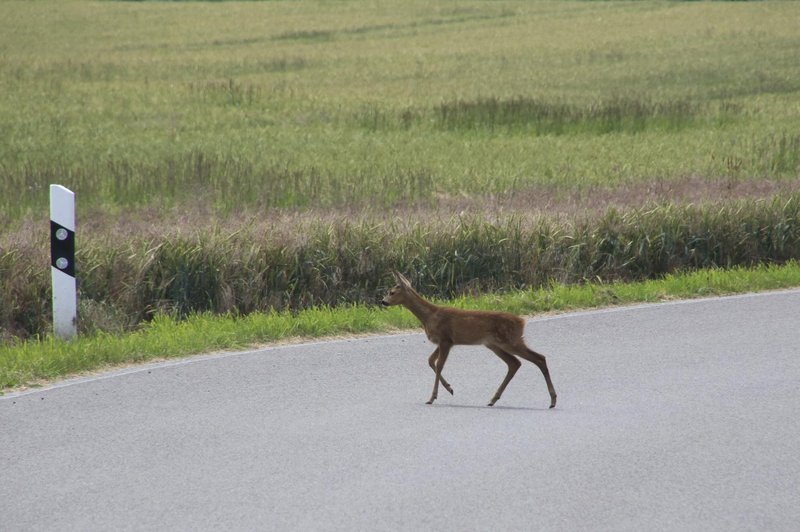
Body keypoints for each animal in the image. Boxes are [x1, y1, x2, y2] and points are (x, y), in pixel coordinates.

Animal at [382, 272, 556, 410]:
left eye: (391, 292)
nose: (383, 301)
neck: (429, 316)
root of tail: (522, 321)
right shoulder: (444, 341)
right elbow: (431, 361)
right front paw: (449, 388)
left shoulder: (446, 339)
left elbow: (439, 365)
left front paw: (432, 397)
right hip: (494, 344)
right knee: (514, 363)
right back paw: (493, 399)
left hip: (510, 340)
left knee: (539, 358)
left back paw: (553, 400)